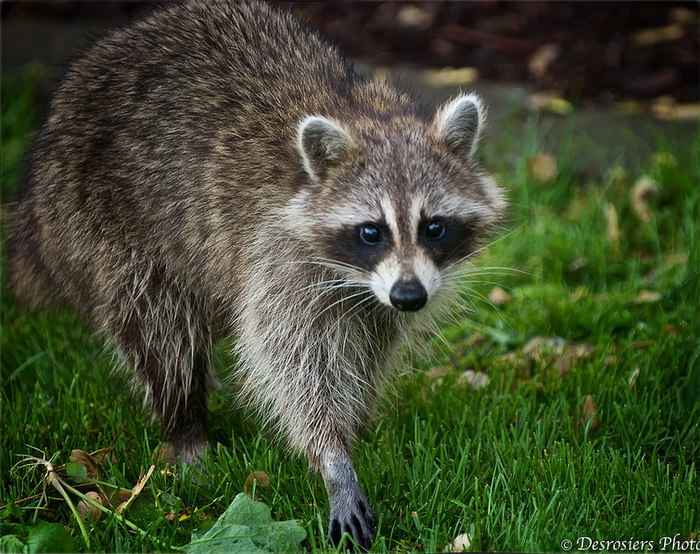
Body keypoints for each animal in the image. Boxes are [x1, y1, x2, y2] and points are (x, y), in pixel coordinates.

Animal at [8, 0, 506, 544]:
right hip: (103, 222)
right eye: (371, 231)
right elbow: (294, 362)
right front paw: (332, 456)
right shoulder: (278, 259)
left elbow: (368, 350)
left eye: (434, 227)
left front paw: (354, 428)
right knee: (161, 328)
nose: (410, 297)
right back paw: (186, 425)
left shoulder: (378, 298)